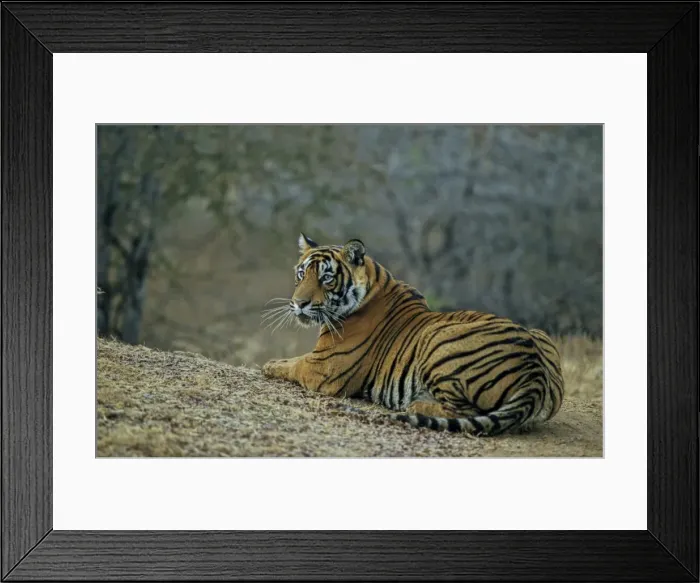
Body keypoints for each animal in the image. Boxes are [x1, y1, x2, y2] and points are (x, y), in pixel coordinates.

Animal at [261, 234, 564, 436]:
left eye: (326, 278)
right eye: (302, 274)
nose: (299, 303)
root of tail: (535, 375)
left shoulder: (324, 368)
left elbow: (291, 364)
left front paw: (269, 365)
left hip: (439, 341)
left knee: (463, 411)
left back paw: (416, 405)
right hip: (539, 334)